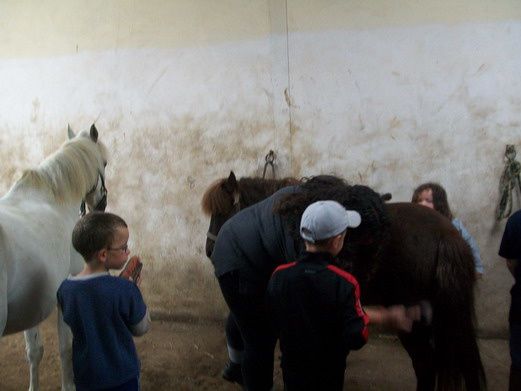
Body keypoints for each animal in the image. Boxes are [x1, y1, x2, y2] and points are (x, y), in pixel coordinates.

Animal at [0, 126, 107, 391]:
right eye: (105, 163)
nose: (102, 205)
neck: (54, 199)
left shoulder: (31, 303)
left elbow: (34, 351)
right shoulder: (65, 293)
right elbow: (66, 348)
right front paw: (69, 385)